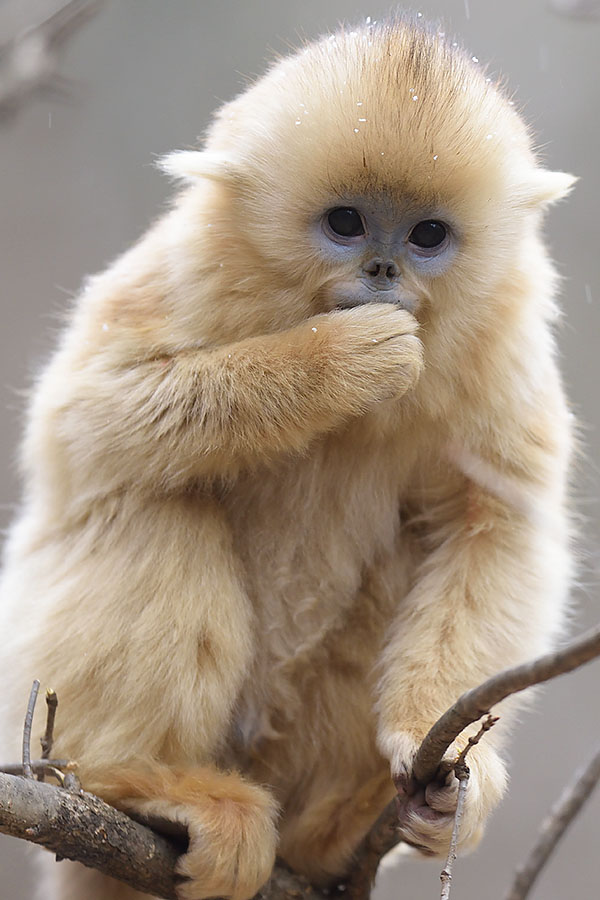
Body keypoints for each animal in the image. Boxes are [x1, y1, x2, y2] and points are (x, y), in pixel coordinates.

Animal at [0, 17, 575, 900]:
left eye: (428, 235)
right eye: (345, 223)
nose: (382, 270)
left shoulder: (502, 332)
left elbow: (496, 523)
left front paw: (440, 757)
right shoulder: (195, 267)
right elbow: (82, 420)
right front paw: (341, 364)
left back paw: (339, 830)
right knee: (156, 503)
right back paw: (141, 784)